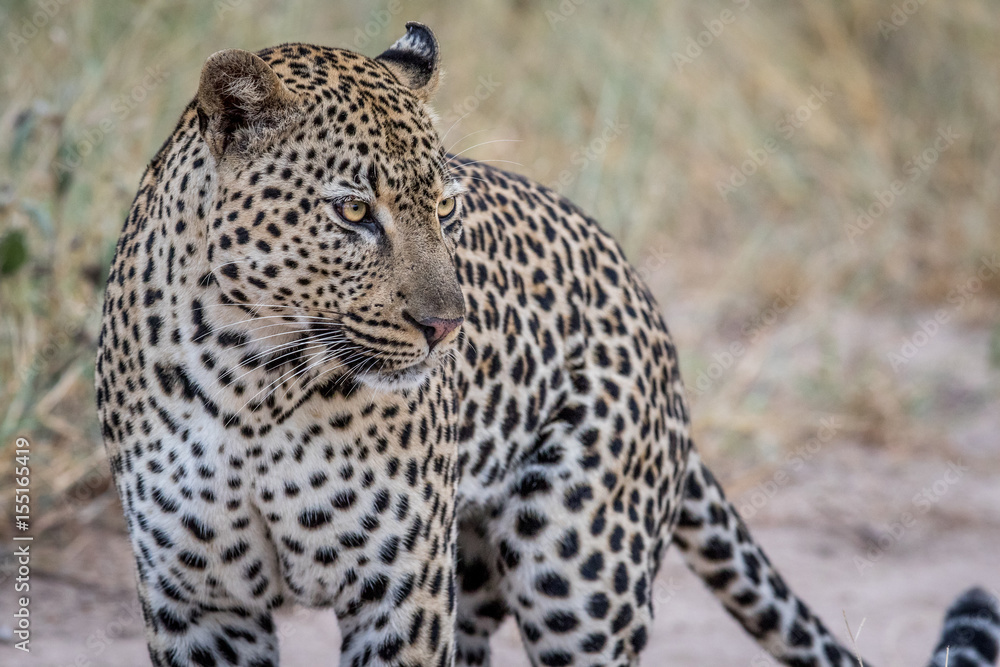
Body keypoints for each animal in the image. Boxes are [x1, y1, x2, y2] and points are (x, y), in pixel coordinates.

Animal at [95, 22, 1000, 667]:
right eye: (354, 211)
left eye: (445, 207)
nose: (446, 327)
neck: (251, 376)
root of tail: (644, 299)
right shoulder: (195, 598)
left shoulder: (399, 590)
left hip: (576, 574)